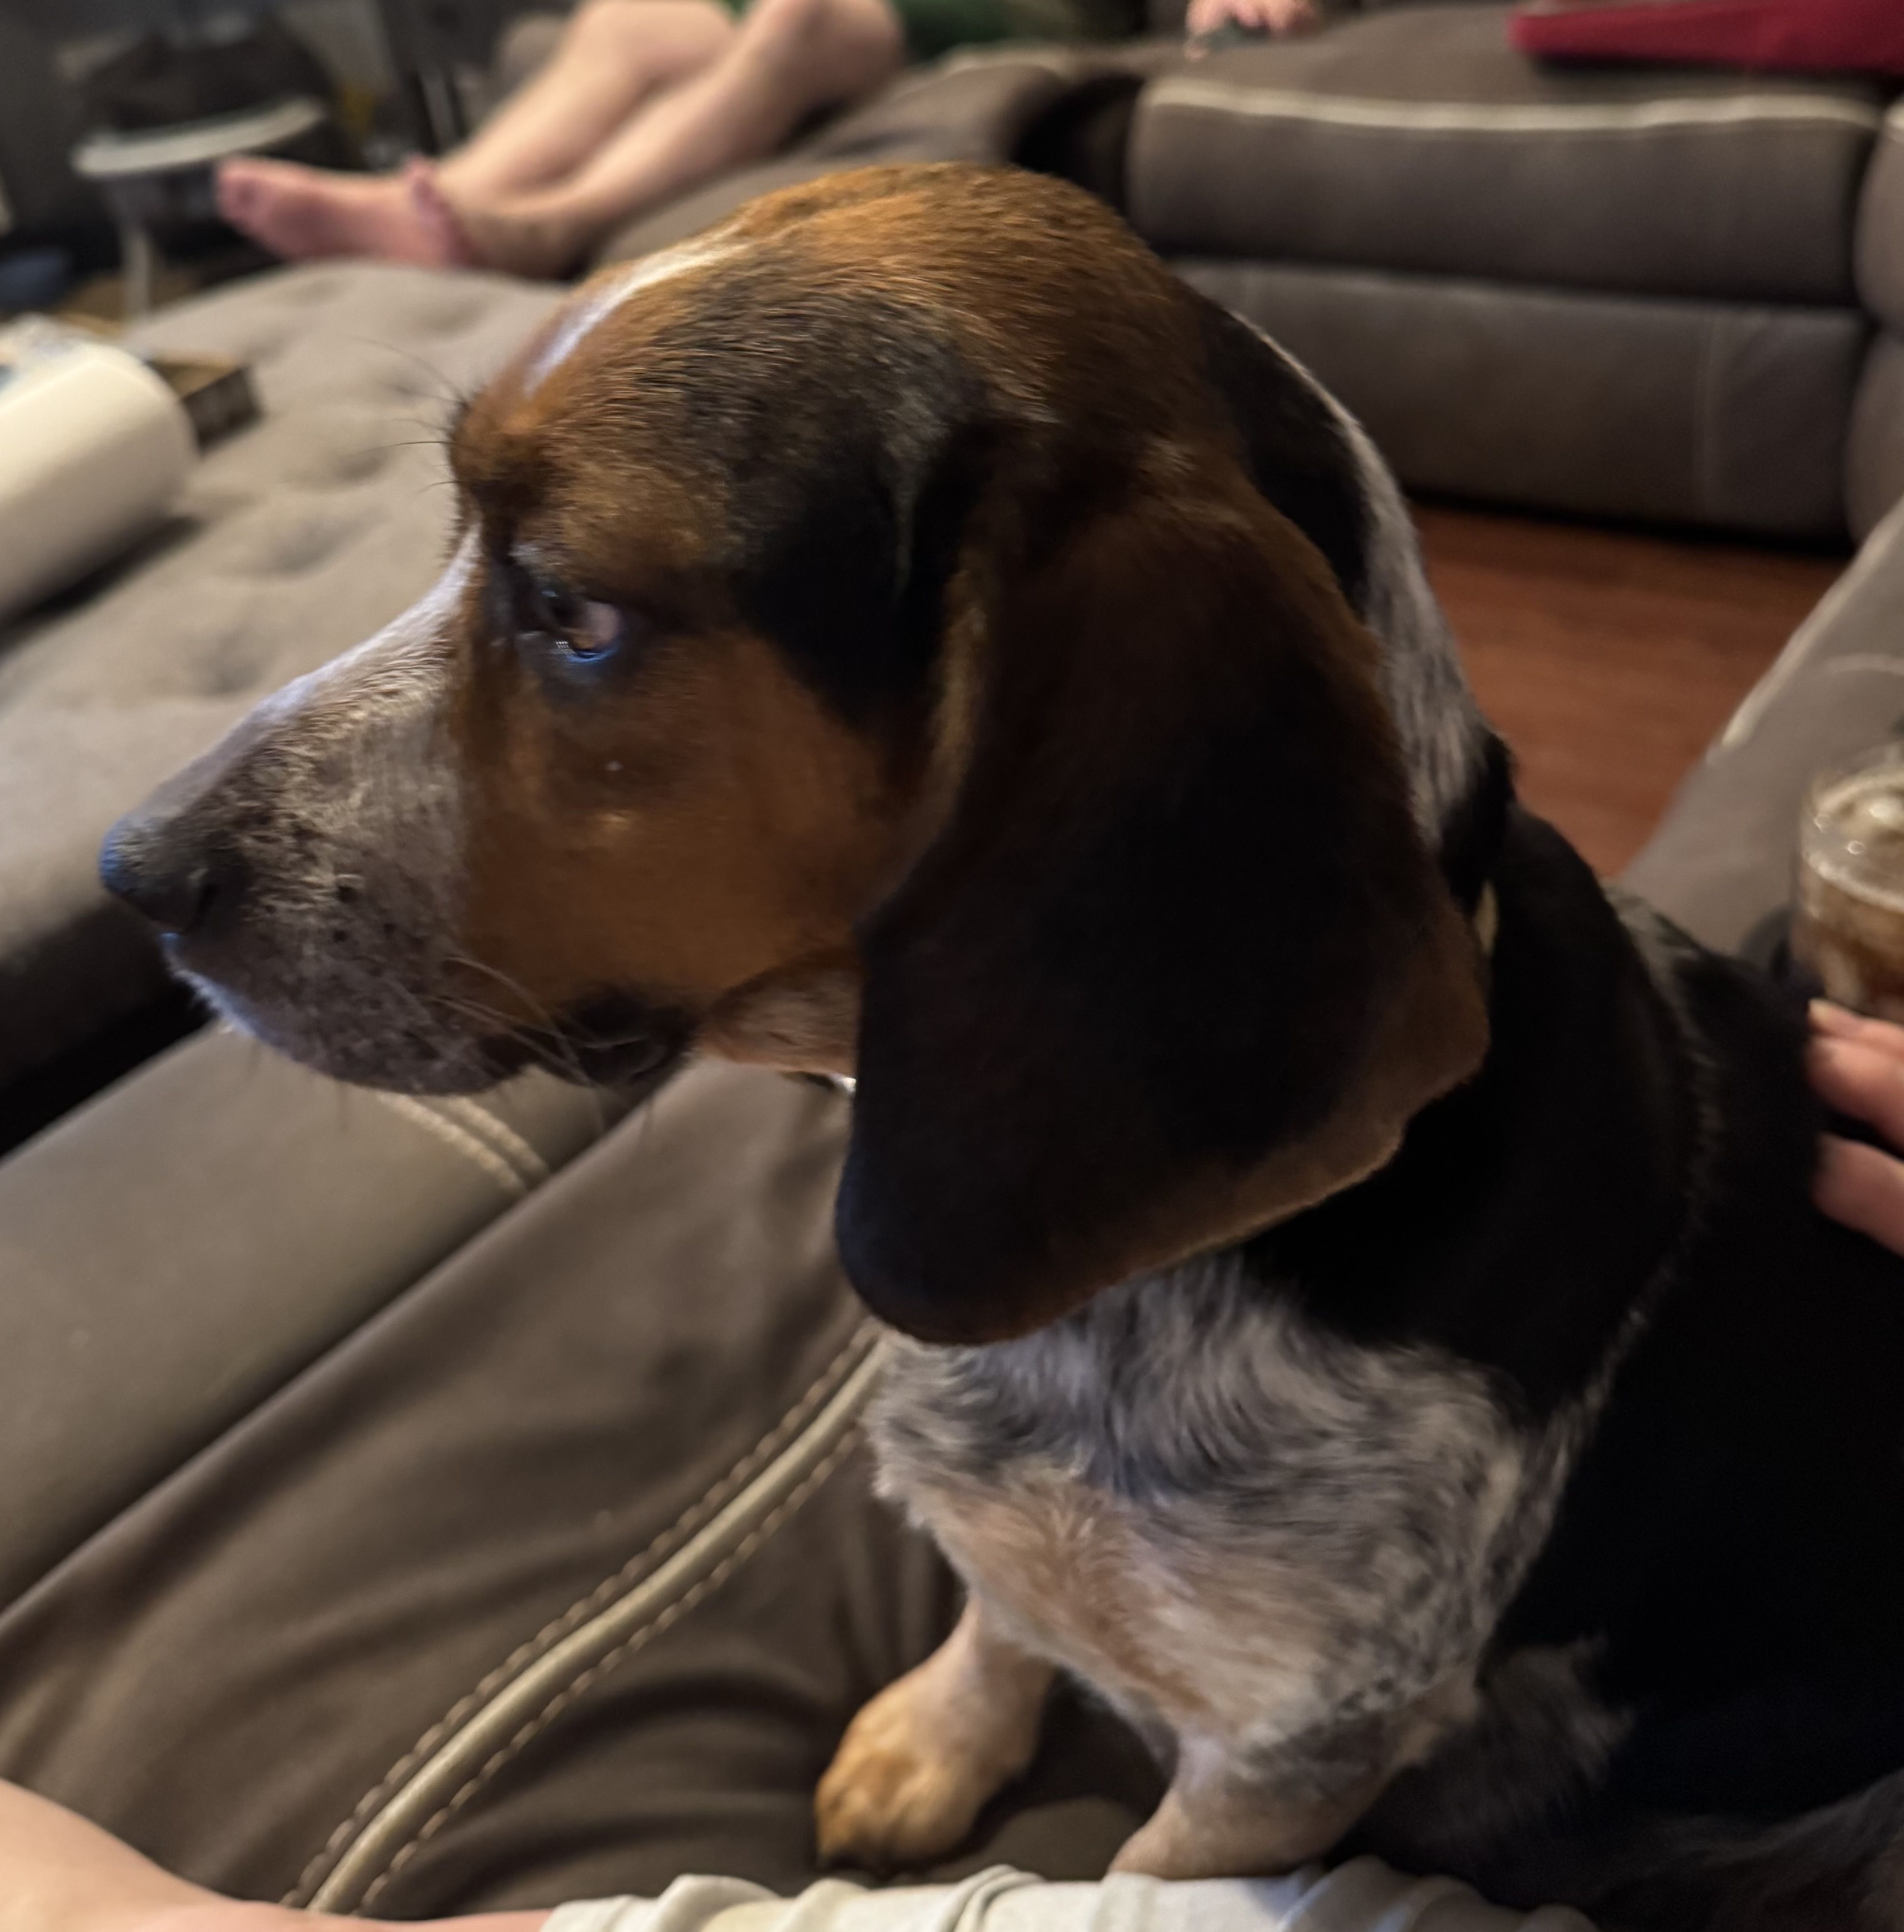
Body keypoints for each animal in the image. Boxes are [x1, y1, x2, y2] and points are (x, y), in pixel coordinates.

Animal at [101, 164, 1904, 1930]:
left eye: (575, 609)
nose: (130, 866)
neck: (1141, 1294)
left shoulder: (1287, 1751)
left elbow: (1135, 1854)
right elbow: (995, 1606)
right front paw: (934, 1737)